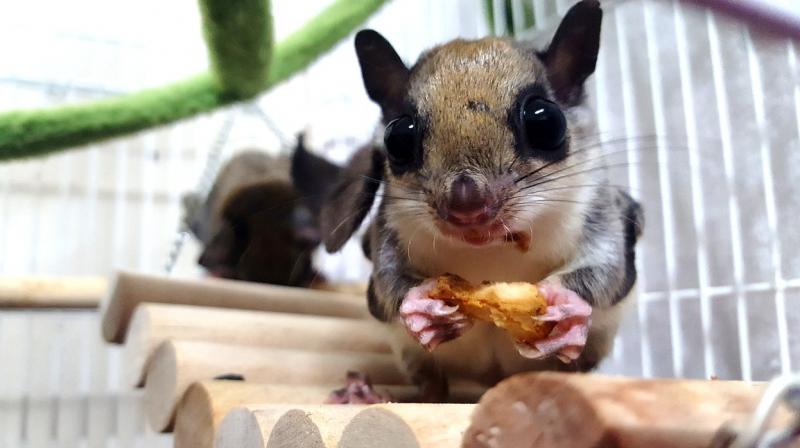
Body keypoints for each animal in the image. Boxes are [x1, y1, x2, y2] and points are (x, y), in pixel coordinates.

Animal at [318, 0, 644, 400]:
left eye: (546, 121)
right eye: (398, 138)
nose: (467, 207)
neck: (491, 248)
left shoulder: (600, 210)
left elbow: (606, 267)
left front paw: (565, 302)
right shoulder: (388, 229)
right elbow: (388, 278)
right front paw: (419, 301)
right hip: (413, 354)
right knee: (432, 389)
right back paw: (365, 393)